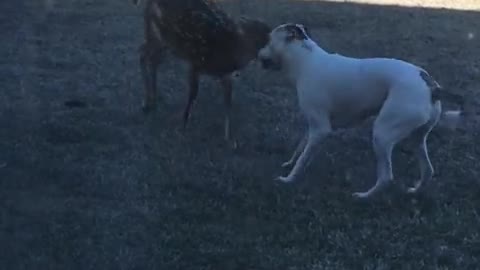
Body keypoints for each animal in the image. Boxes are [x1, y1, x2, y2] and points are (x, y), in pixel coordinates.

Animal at [256, 23, 464, 199]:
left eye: (268, 40)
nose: (257, 54)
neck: (306, 60)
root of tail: (430, 85)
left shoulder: (320, 129)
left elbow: (303, 159)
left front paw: (288, 179)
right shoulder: (312, 126)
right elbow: (300, 149)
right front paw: (289, 164)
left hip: (382, 135)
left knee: (386, 177)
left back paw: (364, 197)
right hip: (417, 139)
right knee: (428, 170)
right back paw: (413, 192)